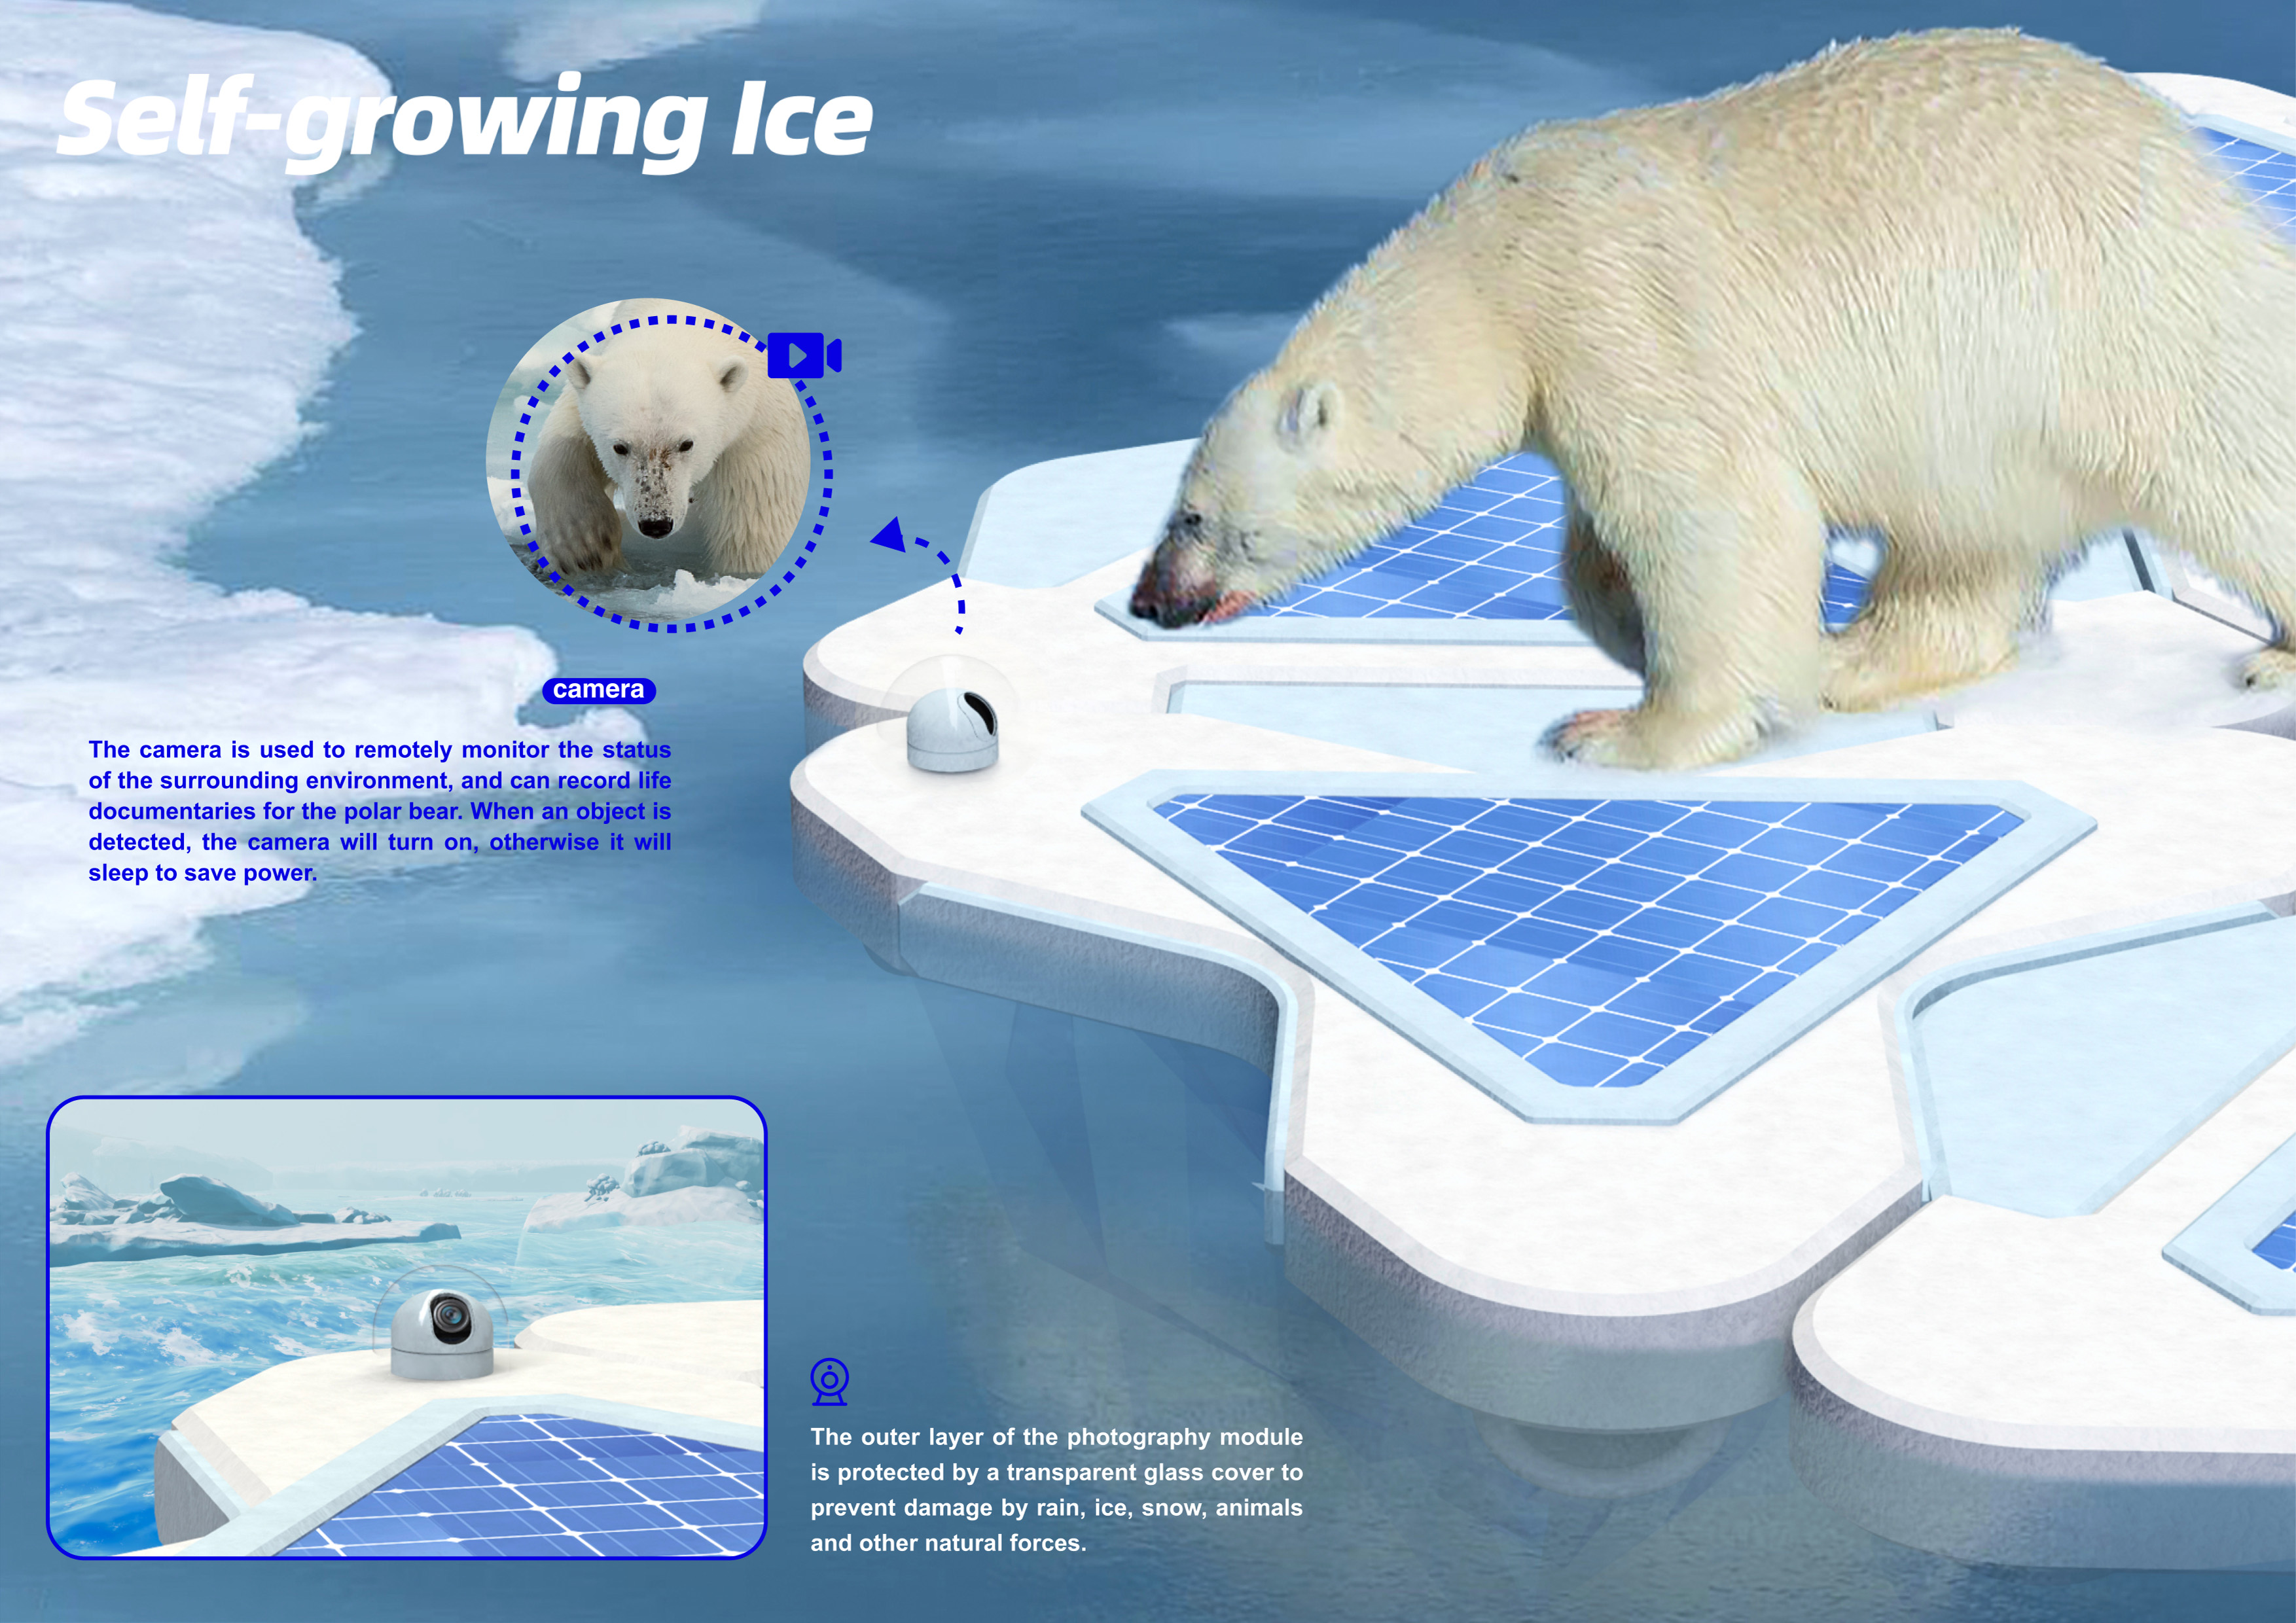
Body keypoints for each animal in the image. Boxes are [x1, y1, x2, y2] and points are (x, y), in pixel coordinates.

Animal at [526, 297, 808, 582]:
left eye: (686, 444)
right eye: (620, 447)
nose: (656, 524)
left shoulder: (761, 436)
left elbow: (755, 538)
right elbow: (566, 434)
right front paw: (582, 548)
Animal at [1127, 29, 2296, 769]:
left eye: (1195, 518)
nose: (1149, 602)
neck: (1492, 272)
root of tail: (2192, 161)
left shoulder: (1619, 309)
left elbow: (1713, 514)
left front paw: (1616, 734)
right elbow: (1604, 544)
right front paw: (1643, 629)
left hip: (2112, 314)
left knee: (2229, 462)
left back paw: (2271, 657)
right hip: (1987, 398)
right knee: (1962, 538)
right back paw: (1853, 662)